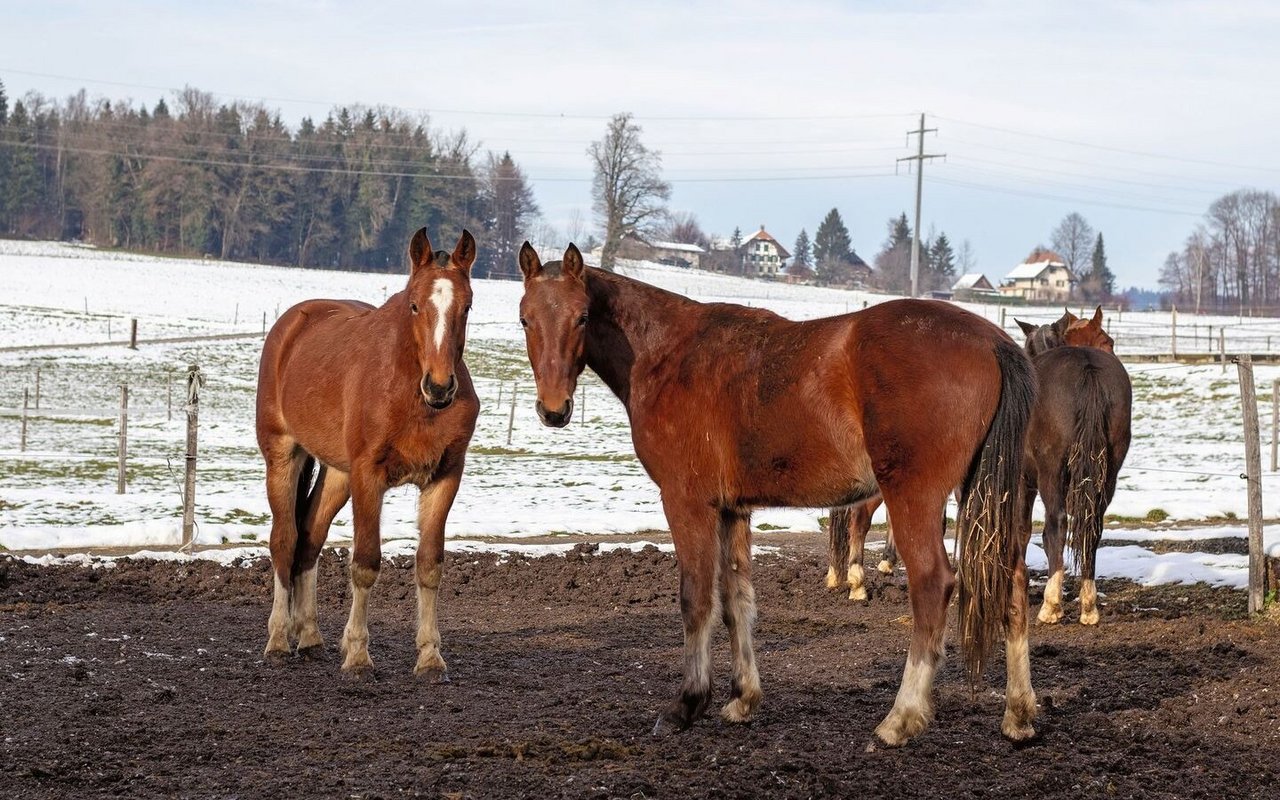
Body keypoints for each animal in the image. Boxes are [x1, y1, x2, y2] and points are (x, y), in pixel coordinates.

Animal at [254, 227, 481, 675]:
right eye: (414, 304)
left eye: (466, 305)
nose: (440, 387)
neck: (410, 395)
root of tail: (291, 325)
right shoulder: (368, 476)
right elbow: (365, 563)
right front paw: (358, 654)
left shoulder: (445, 476)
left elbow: (430, 565)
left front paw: (430, 656)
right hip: (283, 455)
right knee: (285, 540)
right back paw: (277, 640)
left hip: (338, 474)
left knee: (310, 538)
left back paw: (310, 637)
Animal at [517, 241, 1039, 742]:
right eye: (525, 318)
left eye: (582, 317)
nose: (554, 409)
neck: (669, 356)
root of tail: (992, 341)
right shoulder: (732, 510)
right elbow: (736, 599)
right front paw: (742, 698)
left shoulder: (687, 502)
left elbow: (696, 600)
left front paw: (687, 703)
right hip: (986, 498)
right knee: (1012, 584)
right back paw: (1019, 715)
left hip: (914, 497)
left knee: (932, 584)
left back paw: (901, 718)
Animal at [1013, 305, 1126, 624]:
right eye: (1109, 342)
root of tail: (1087, 368)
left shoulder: (1024, 481)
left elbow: (1022, 529)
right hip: (1108, 474)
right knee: (1093, 527)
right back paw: (1088, 605)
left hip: (1051, 473)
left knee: (1056, 526)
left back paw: (1051, 605)